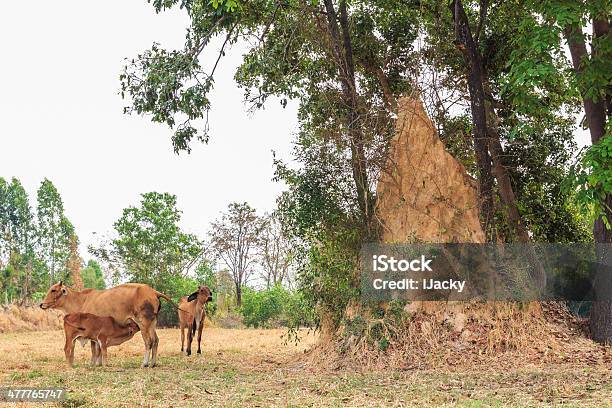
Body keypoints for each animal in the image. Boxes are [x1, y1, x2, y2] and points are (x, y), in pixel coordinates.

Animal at [40, 282, 173, 368]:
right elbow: (98, 349)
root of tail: (152, 291)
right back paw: (153, 363)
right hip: (152, 323)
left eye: (53, 290)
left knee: (148, 341)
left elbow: (94, 349)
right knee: (156, 340)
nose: (41, 304)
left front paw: (94, 363)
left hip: (143, 323)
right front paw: (98, 363)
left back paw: (144, 363)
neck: (81, 300)